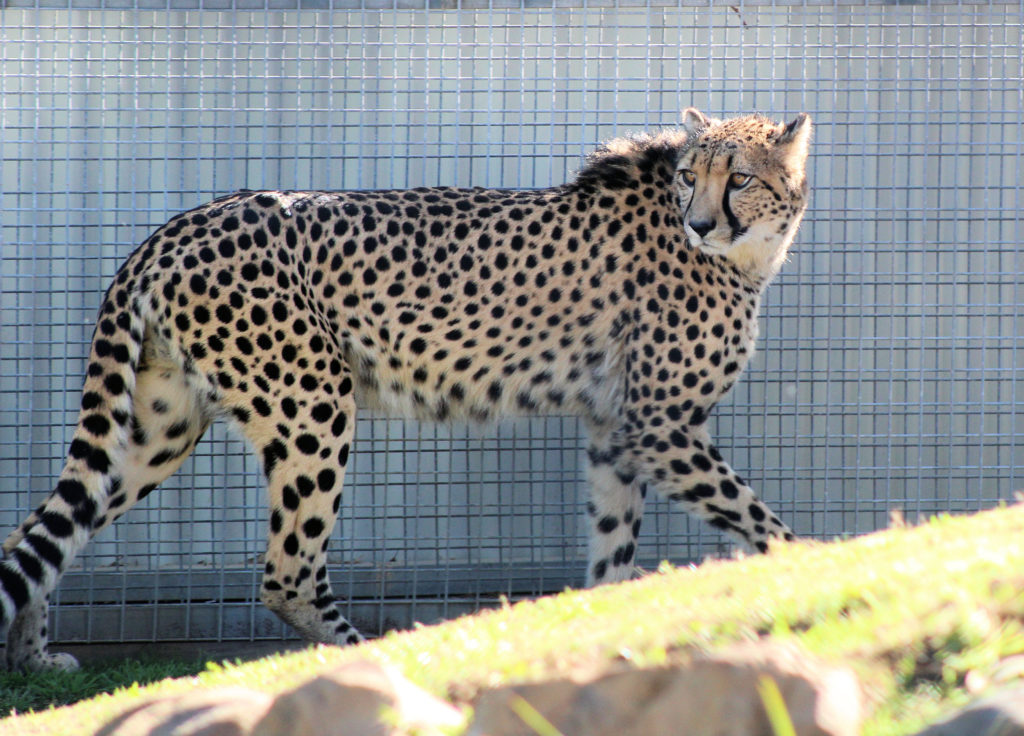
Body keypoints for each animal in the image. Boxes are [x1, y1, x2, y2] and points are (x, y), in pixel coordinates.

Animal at [4, 106, 811, 671]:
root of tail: (178, 226)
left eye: (739, 177)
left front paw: (605, 627)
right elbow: (764, 522)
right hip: (311, 404)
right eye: (690, 176)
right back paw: (374, 656)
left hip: (160, 424)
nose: (699, 223)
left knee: (42, 528)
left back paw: (32, 658)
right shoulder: (660, 425)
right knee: (288, 573)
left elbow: (613, 554)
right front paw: (816, 572)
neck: (748, 254)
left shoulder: (617, 432)